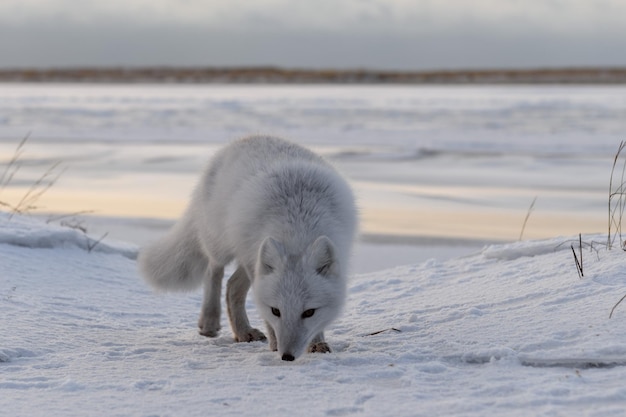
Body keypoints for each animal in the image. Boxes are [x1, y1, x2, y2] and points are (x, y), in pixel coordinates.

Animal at [140, 136, 356, 360]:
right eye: (276, 311)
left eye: (309, 312)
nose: (287, 356)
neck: (297, 229)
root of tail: (239, 141)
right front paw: (275, 342)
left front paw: (317, 343)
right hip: (224, 246)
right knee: (213, 272)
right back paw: (210, 322)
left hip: (249, 257)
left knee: (232, 286)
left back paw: (243, 332)